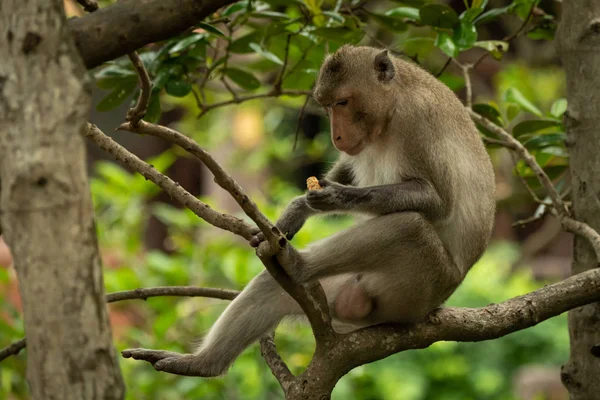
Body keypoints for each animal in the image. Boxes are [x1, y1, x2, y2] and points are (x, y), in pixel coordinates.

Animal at [119, 45, 494, 376]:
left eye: (343, 102)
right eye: (326, 107)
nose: (337, 136)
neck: (391, 109)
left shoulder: (418, 120)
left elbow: (437, 200)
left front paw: (340, 198)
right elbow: (348, 170)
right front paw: (297, 208)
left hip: (420, 288)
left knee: (410, 227)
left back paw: (298, 266)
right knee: (270, 288)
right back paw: (203, 363)